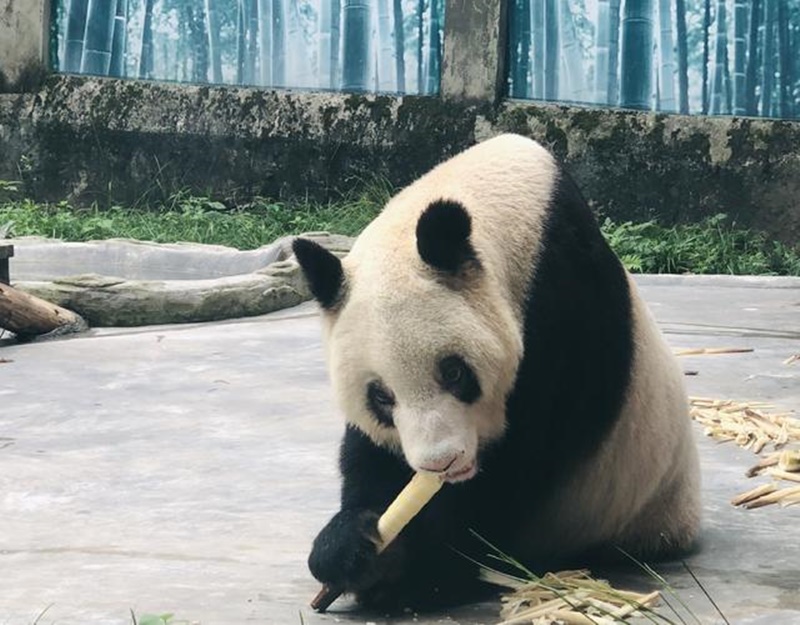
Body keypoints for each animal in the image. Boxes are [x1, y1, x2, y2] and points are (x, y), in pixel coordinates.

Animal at [294, 135, 700, 608]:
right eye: (380, 396)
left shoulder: (563, 315)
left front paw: (418, 572)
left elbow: (520, 465)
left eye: (454, 373)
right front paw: (354, 547)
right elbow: (371, 454)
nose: (442, 463)